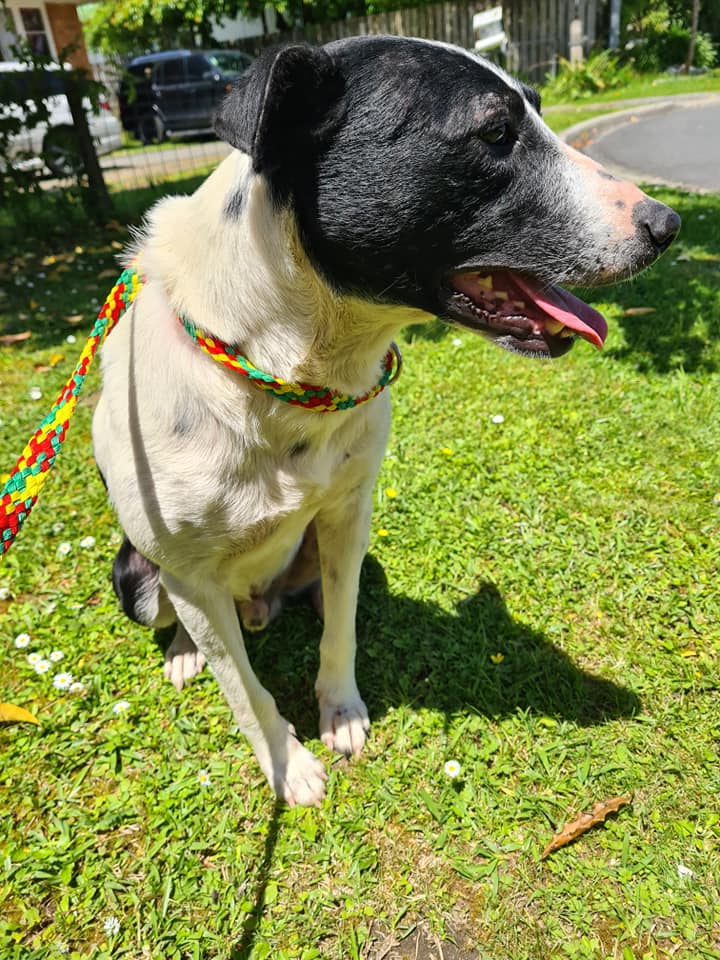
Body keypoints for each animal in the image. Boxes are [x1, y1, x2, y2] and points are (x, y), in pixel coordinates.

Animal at [91, 35, 680, 808]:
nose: (668, 225)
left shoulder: (348, 515)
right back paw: (189, 652)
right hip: (137, 576)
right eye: (495, 133)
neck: (281, 368)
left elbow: (341, 628)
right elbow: (246, 691)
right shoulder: (186, 572)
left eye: (539, 111)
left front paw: (339, 710)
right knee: (189, 623)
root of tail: (255, 601)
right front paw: (287, 764)